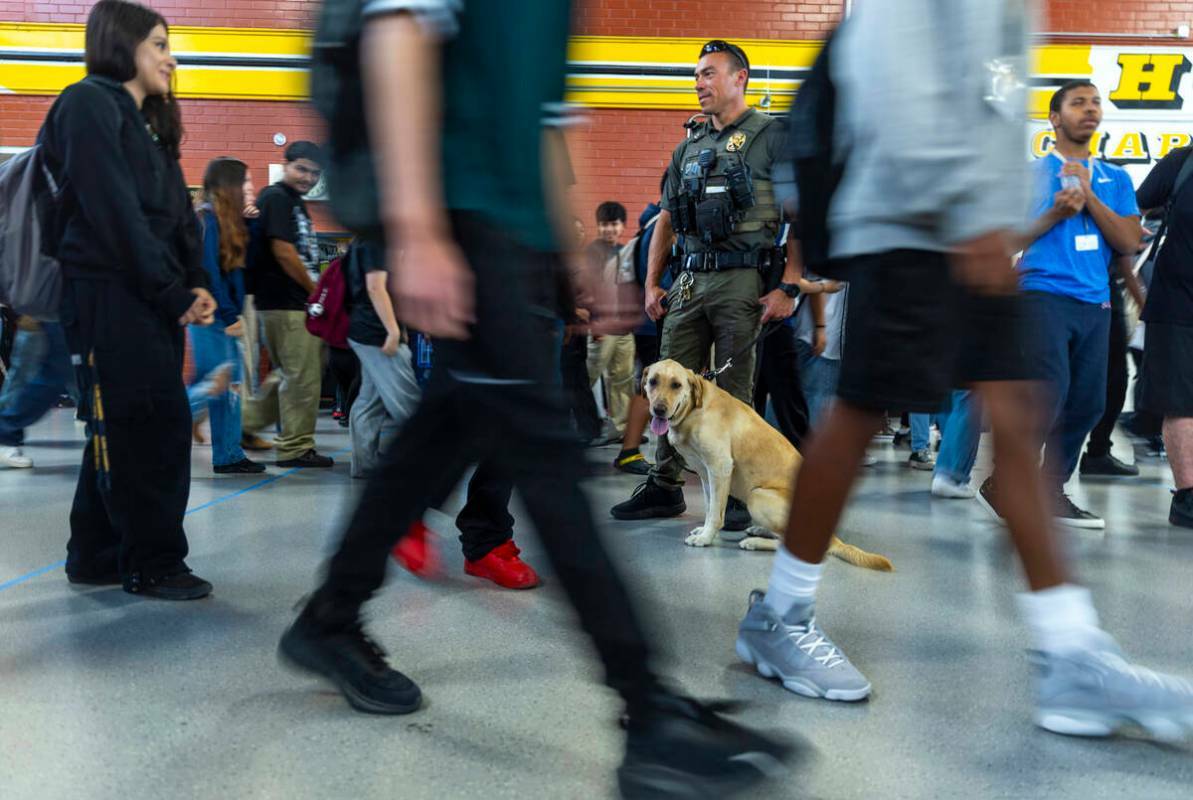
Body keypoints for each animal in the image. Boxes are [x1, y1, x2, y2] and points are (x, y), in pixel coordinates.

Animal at [648, 360, 892, 572]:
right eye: (652, 381)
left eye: (676, 384)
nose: (658, 409)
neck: (694, 410)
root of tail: (829, 537)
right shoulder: (705, 474)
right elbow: (710, 507)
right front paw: (705, 531)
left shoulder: (720, 467)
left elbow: (716, 514)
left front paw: (706, 538)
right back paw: (759, 530)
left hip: (757, 496)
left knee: (786, 543)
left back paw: (754, 542)